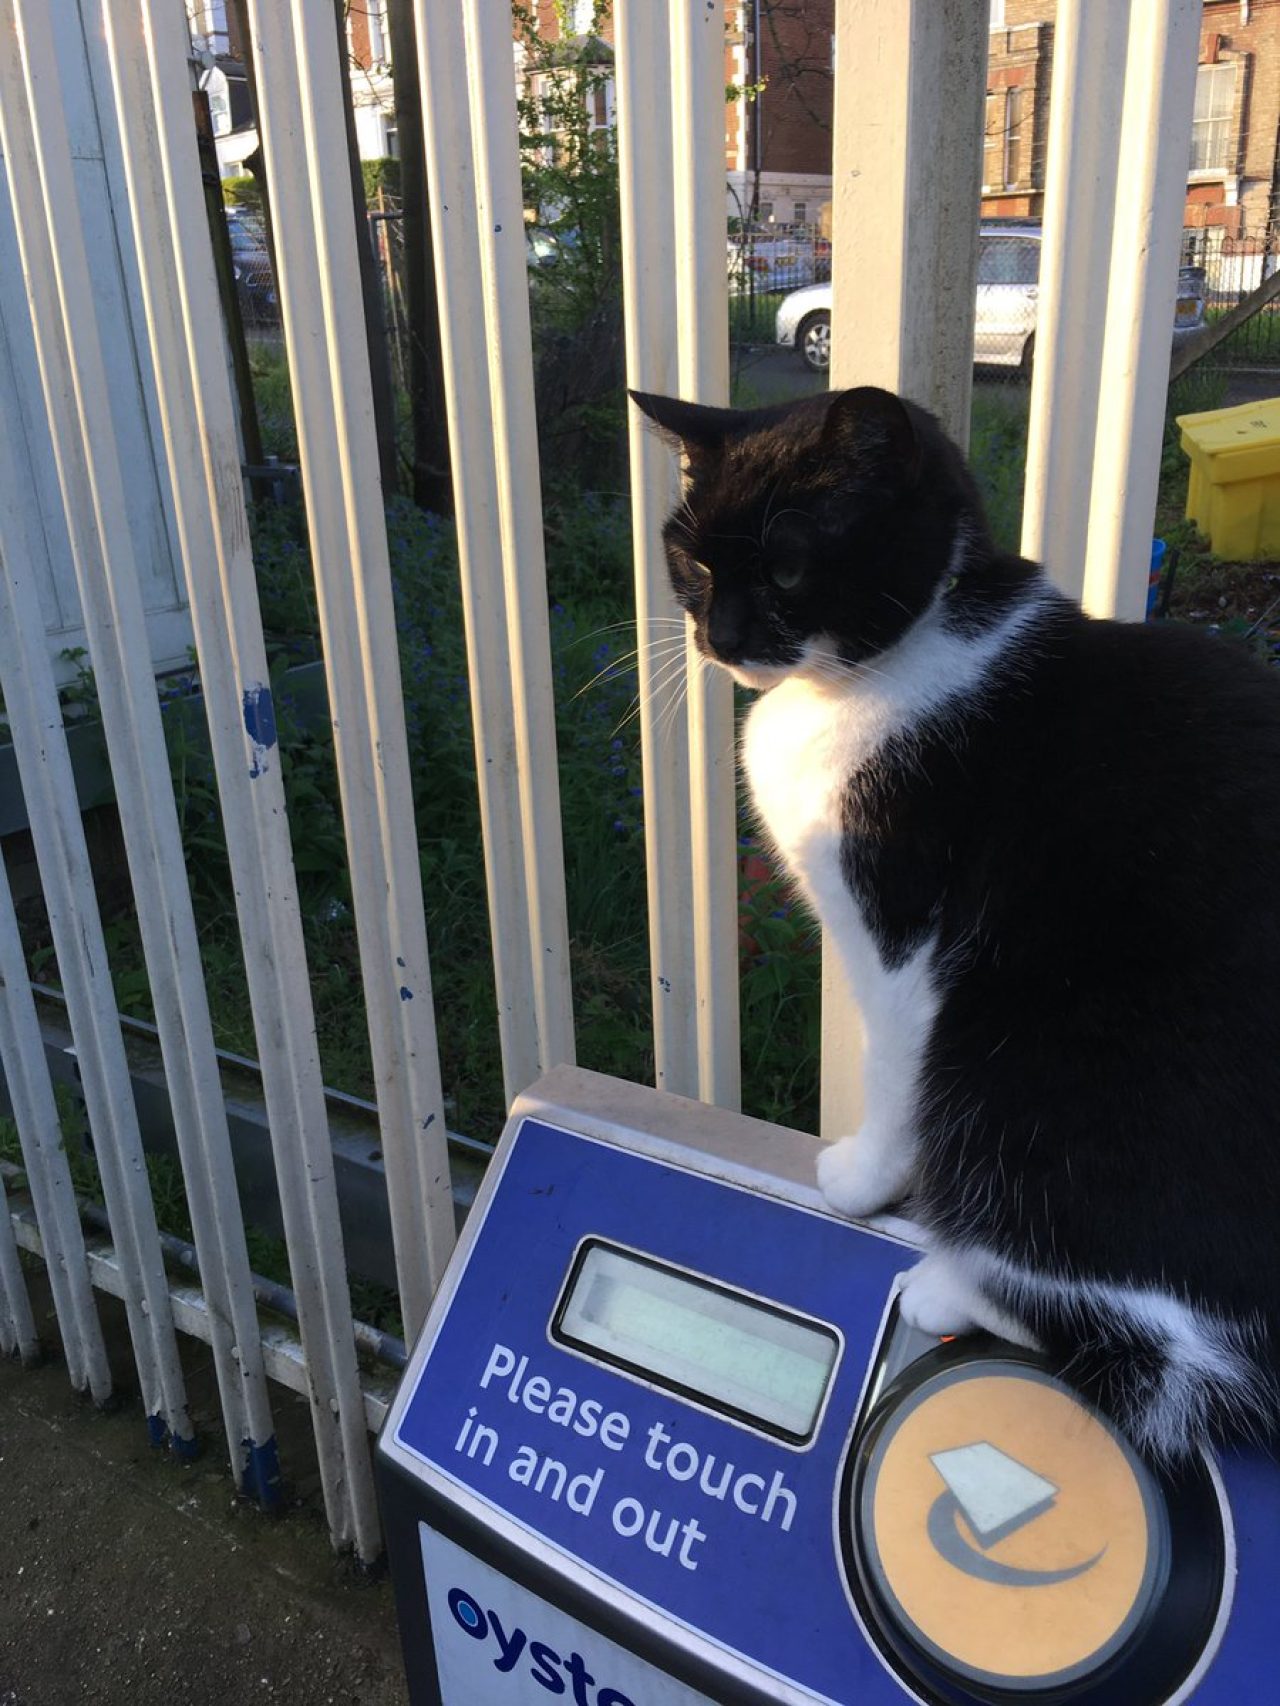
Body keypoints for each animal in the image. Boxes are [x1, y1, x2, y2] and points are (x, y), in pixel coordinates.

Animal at [638, 380, 1280, 1460]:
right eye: (691, 560)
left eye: (787, 565)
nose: (718, 639)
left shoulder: (902, 928)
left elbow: (895, 1075)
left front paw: (861, 1181)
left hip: (1029, 1066)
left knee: (1158, 1357)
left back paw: (945, 1283)